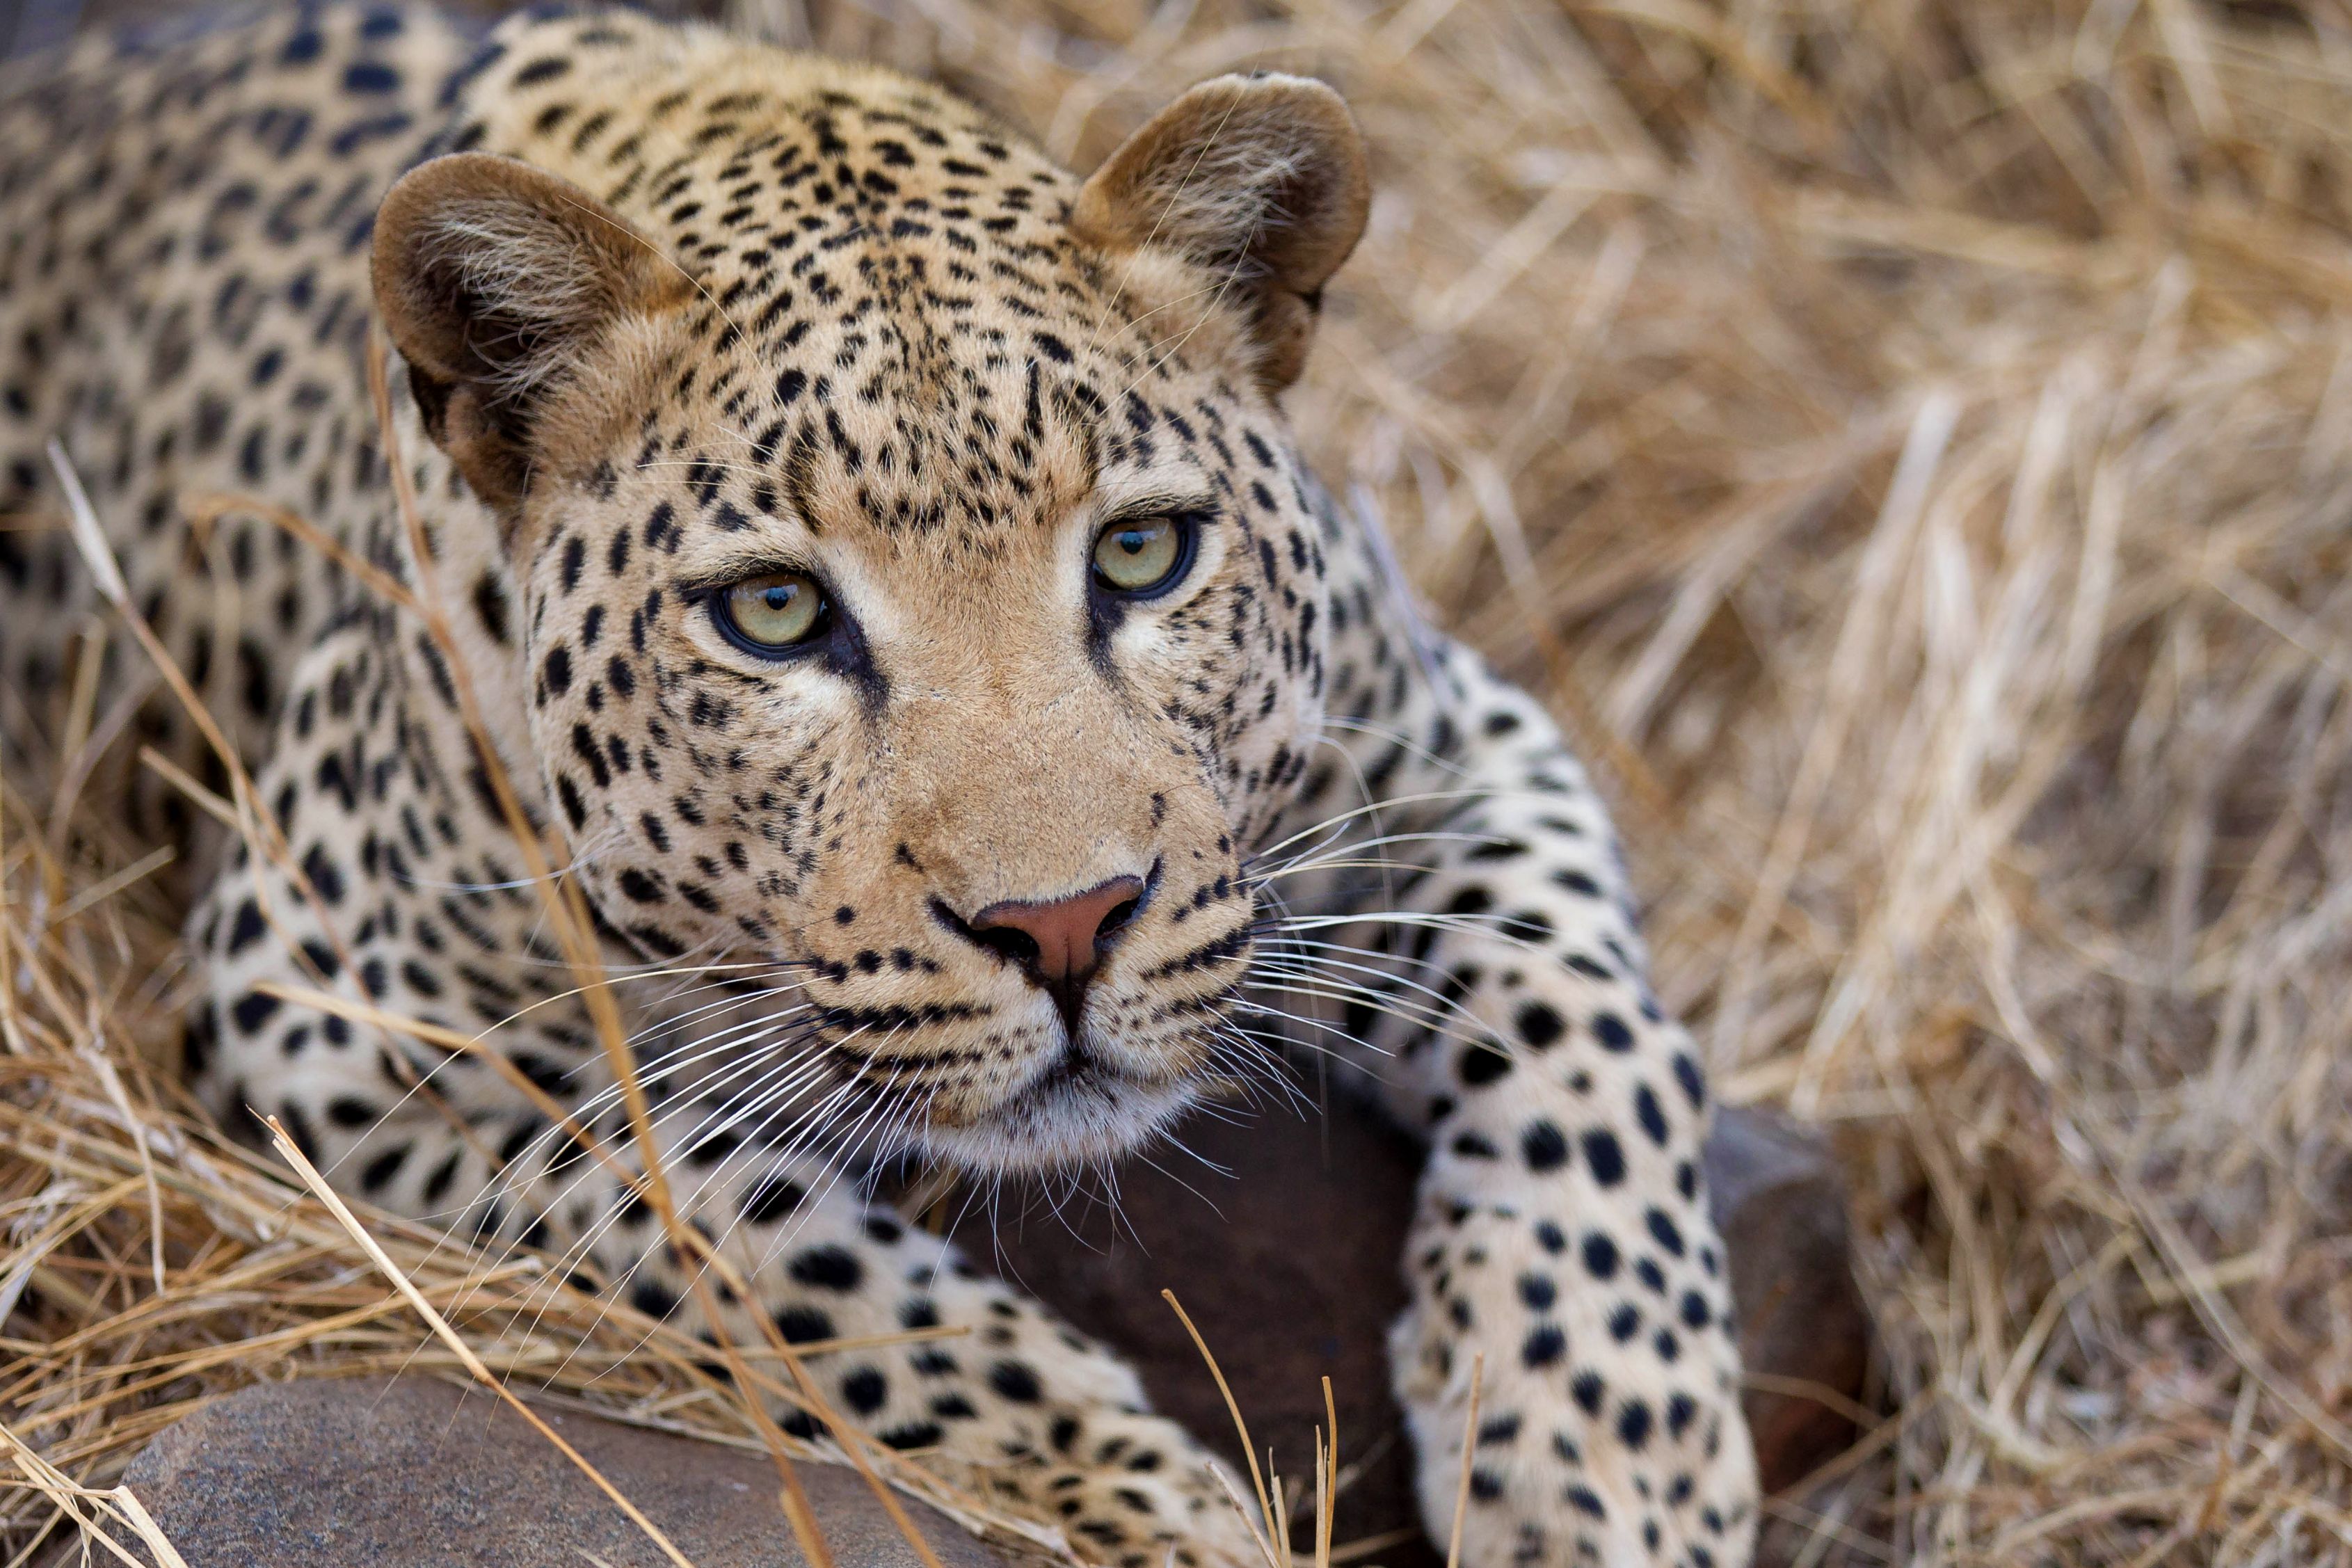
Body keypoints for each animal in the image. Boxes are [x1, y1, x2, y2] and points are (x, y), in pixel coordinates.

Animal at [0, 5, 1759, 1566]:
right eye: (776, 612)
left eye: (1143, 551)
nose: (1067, 926)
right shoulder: (331, 1007)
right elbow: (743, 1240)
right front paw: (1152, 1503)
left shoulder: (1448, 750)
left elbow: (1588, 1041)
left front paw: (1611, 1473)